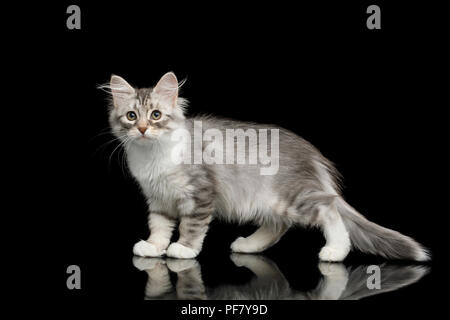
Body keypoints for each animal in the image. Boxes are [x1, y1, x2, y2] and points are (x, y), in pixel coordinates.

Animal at [104, 71, 428, 262]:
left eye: (156, 115)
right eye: (132, 116)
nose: (143, 129)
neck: (152, 156)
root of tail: (312, 153)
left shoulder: (200, 194)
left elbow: (191, 227)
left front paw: (183, 249)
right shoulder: (158, 199)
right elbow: (159, 227)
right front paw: (153, 247)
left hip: (292, 197)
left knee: (328, 208)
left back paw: (336, 250)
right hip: (270, 202)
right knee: (278, 225)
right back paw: (249, 246)